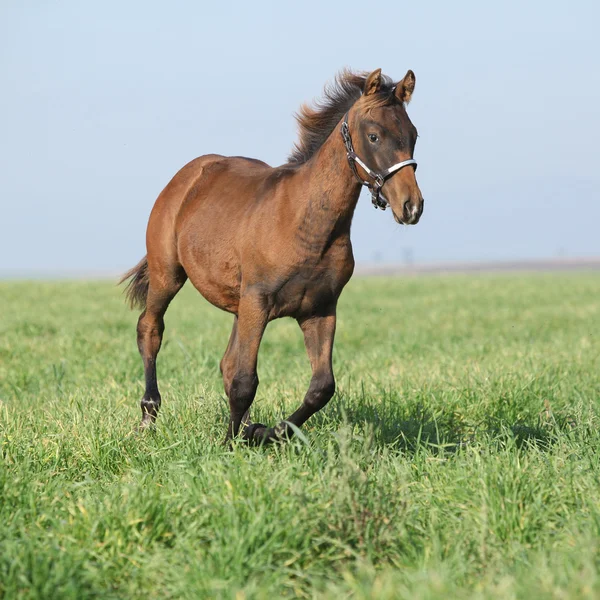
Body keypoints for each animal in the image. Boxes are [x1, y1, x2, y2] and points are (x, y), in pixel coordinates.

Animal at [120, 68, 422, 442]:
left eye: (413, 134)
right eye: (374, 135)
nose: (411, 206)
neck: (307, 225)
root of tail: (186, 177)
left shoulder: (320, 308)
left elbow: (321, 386)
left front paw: (266, 432)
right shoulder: (258, 300)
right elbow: (244, 380)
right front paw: (232, 442)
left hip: (239, 304)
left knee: (227, 362)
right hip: (169, 275)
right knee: (151, 328)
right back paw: (148, 416)